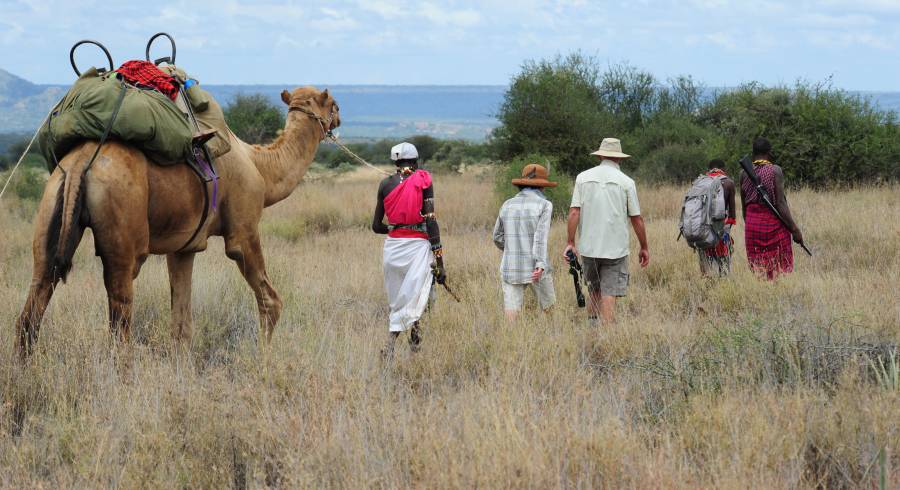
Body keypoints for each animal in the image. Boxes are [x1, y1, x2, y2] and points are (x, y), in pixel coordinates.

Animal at [15, 87, 340, 356]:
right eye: (333, 104)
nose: (338, 119)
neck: (260, 166)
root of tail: (82, 161)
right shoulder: (244, 227)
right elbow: (271, 301)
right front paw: (265, 357)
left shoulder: (184, 247)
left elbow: (181, 326)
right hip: (123, 226)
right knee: (120, 319)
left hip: (53, 200)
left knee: (35, 299)